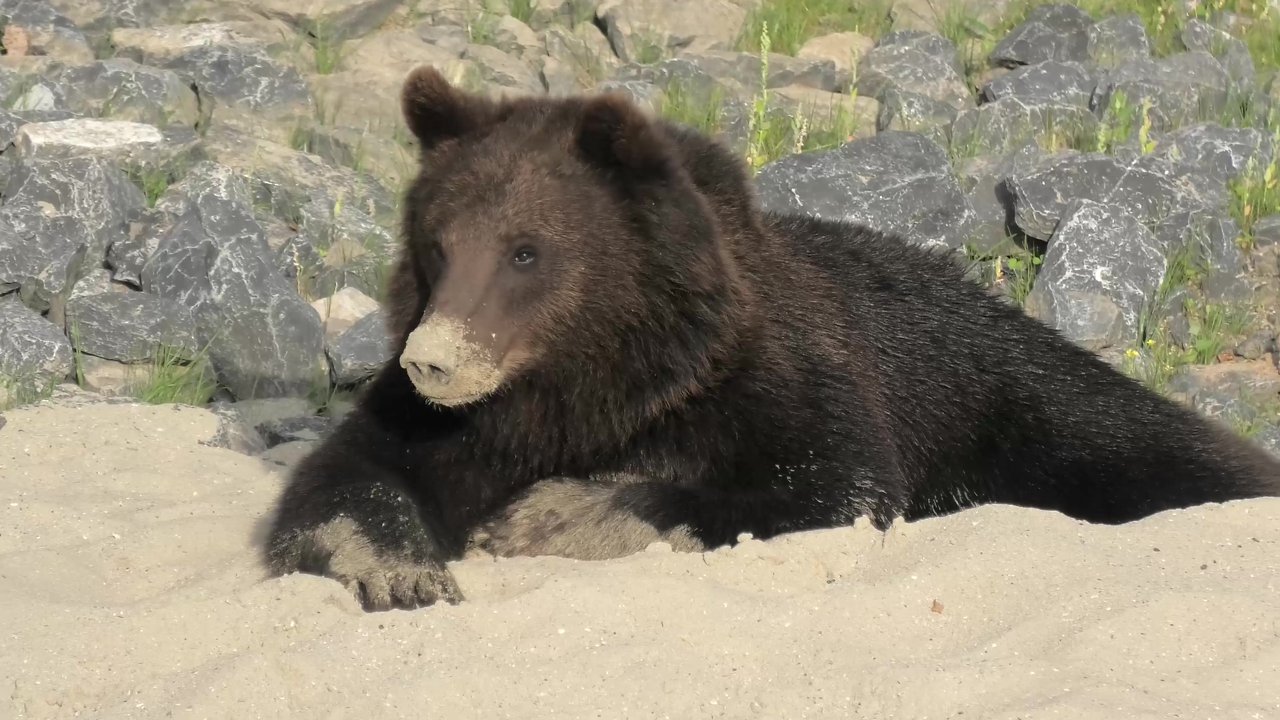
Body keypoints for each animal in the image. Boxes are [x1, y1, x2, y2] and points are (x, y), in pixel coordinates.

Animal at [259, 64, 1280, 607]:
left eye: (525, 251)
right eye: (438, 241)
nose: (434, 360)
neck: (599, 379)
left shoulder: (780, 381)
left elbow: (826, 483)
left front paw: (552, 514)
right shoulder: (463, 425)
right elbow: (348, 474)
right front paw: (403, 569)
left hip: (1018, 392)